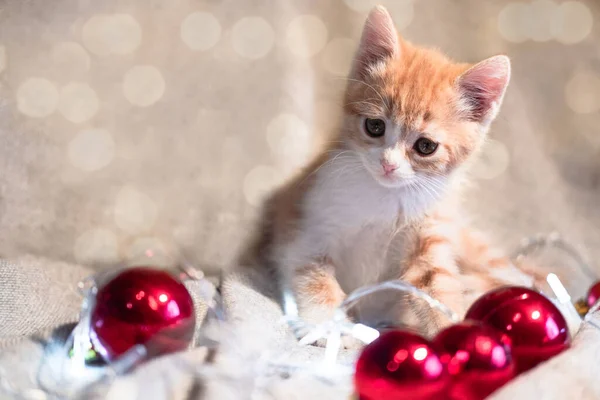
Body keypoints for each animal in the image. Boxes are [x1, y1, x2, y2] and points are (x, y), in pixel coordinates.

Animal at [239, 6, 536, 338]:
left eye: (425, 146)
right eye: (375, 126)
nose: (388, 164)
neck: (384, 198)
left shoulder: (429, 234)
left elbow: (436, 288)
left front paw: (455, 336)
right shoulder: (305, 222)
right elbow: (312, 274)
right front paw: (329, 327)